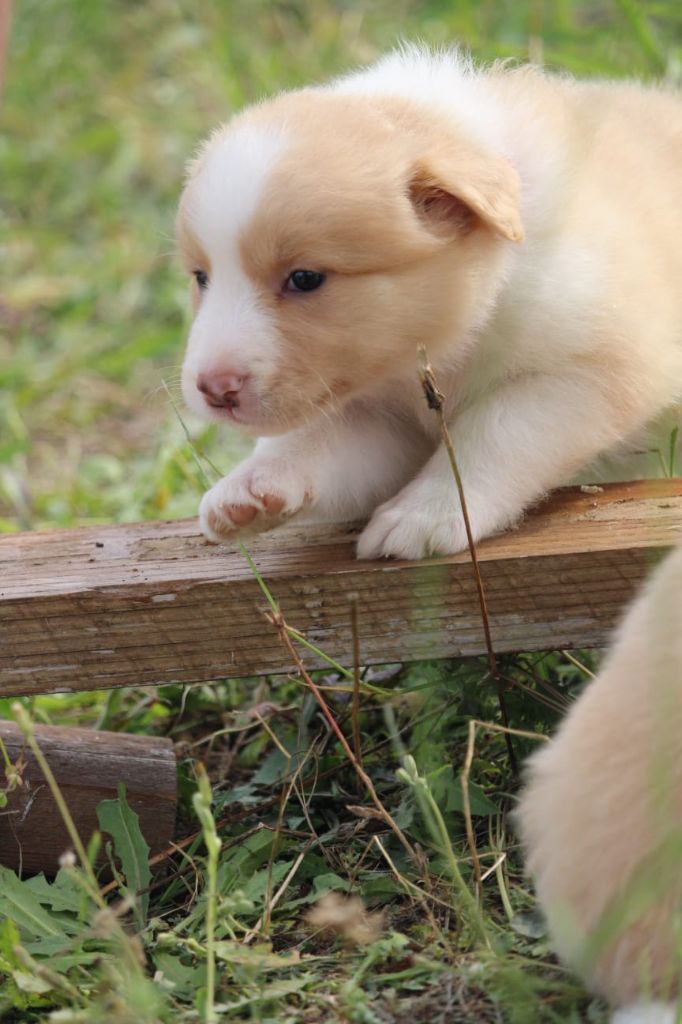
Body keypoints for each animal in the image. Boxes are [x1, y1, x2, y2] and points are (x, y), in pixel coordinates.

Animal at [177, 47, 682, 558]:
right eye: (202, 277)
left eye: (305, 279)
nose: (214, 389)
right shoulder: (380, 419)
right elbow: (323, 443)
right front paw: (252, 482)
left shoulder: (589, 371)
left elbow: (495, 432)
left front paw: (425, 514)